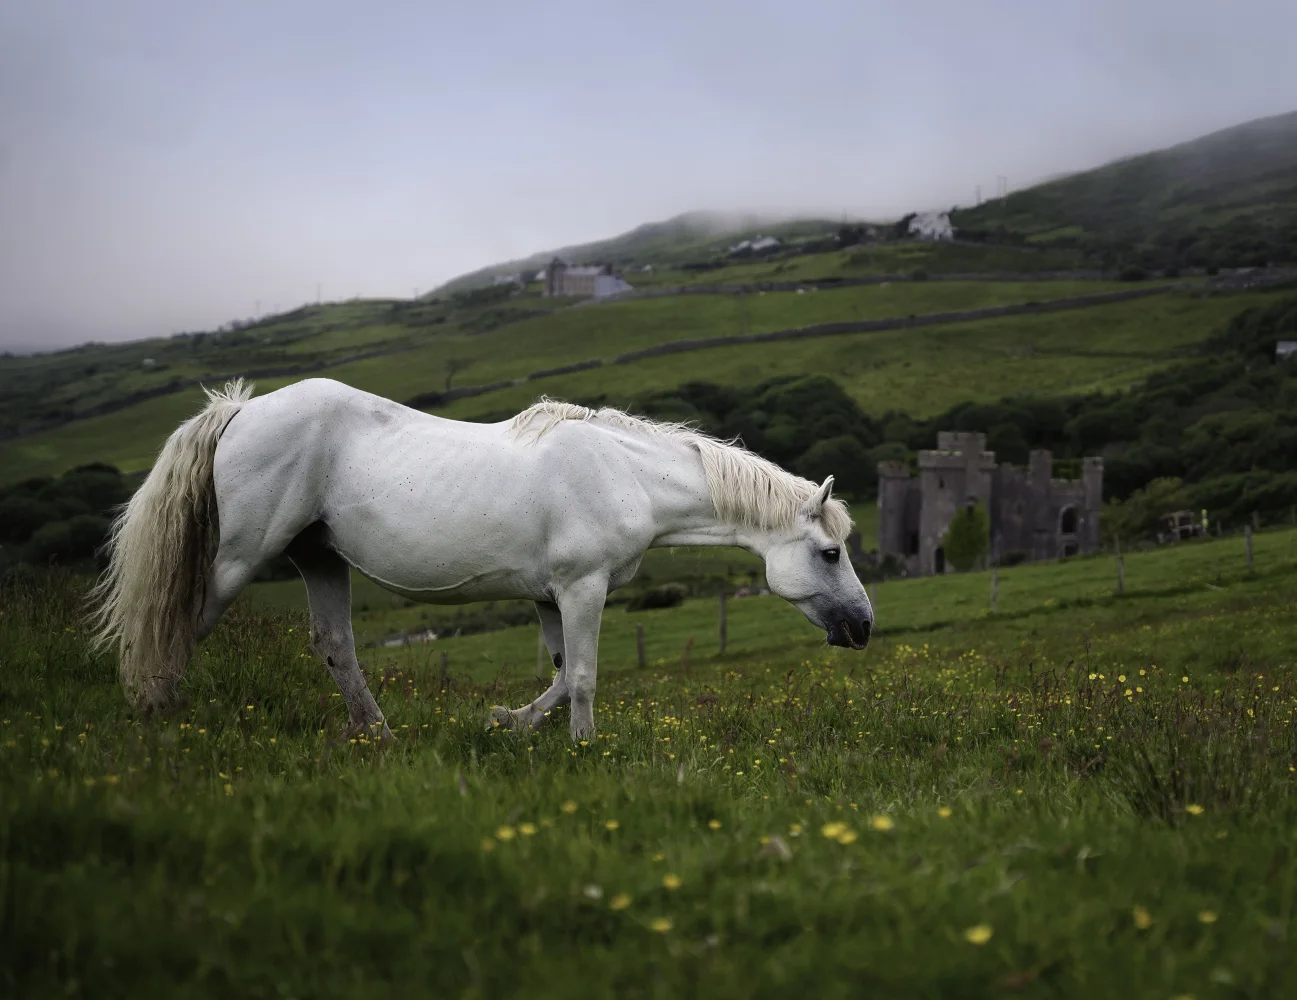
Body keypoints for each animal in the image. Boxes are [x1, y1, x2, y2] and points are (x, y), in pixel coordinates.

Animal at [90, 377, 875, 741]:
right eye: (830, 551)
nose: (863, 627)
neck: (624, 472)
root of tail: (240, 412)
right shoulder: (582, 588)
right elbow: (583, 678)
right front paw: (585, 748)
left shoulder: (549, 595)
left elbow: (558, 677)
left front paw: (506, 722)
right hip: (239, 560)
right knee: (178, 626)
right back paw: (157, 716)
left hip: (318, 559)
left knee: (336, 646)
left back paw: (380, 735)